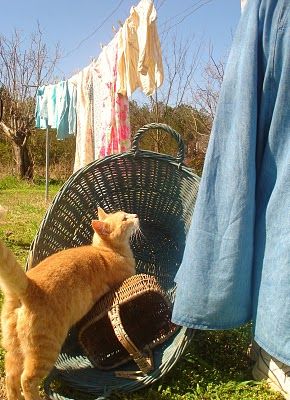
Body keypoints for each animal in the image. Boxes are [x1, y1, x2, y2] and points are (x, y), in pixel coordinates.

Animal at [0, 208, 139, 398]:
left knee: (11, 378)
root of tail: (30, 286)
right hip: (45, 351)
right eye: (125, 218)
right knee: (26, 380)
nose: (136, 216)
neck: (106, 251)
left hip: (14, 351)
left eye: (126, 214)